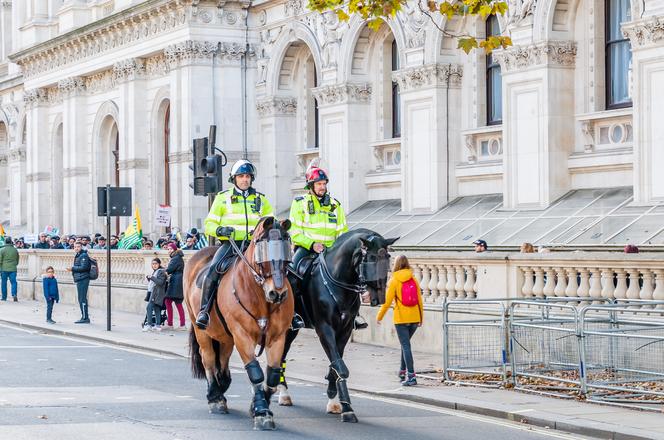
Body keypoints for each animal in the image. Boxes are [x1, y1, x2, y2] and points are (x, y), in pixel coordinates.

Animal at [184, 217, 294, 430]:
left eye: (287, 246)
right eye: (262, 247)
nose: (277, 293)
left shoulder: (278, 337)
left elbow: (273, 374)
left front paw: (257, 406)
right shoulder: (242, 335)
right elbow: (255, 372)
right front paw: (261, 412)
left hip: (225, 336)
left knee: (222, 359)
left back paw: (222, 385)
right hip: (201, 328)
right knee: (209, 358)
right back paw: (215, 396)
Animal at [274, 229, 394, 422]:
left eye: (388, 258)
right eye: (371, 258)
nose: (379, 297)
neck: (338, 281)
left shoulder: (344, 330)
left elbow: (336, 364)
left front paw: (335, 400)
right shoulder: (325, 329)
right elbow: (341, 367)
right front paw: (347, 407)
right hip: (286, 328)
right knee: (280, 356)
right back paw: (283, 394)